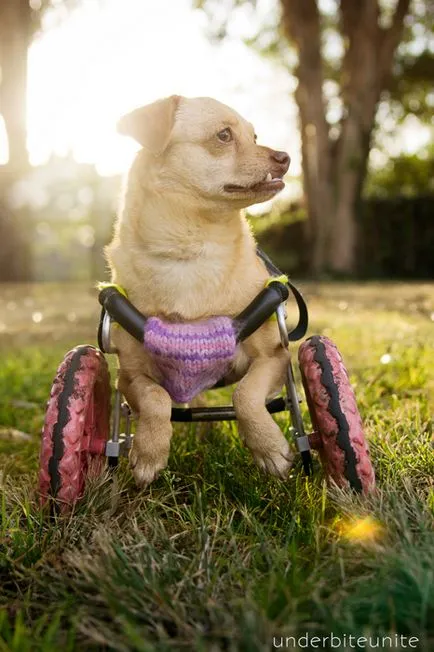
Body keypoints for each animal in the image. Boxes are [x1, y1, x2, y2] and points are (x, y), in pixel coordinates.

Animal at [106, 95, 294, 484]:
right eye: (224, 136)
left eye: (255, 136)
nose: (285, 156)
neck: (190, 252)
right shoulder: (129, 376)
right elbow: (156, 398)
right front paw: (149, 451)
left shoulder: (274, 358)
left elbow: (245, 395)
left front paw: (269, 448)